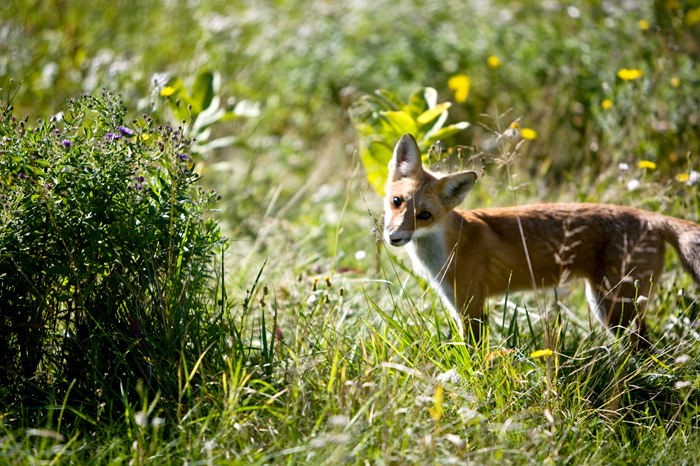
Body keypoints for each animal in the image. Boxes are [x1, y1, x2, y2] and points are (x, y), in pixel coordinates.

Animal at [383, 133, 700, 346]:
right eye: (397, 201)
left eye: (425, 215)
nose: (393, 237)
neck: (449, 246)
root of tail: (650, 216)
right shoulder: (457, 304)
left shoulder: (471, 306)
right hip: (609, 305)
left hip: (614, 307)